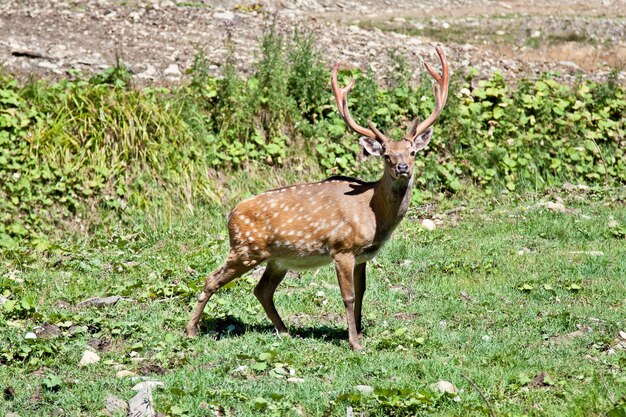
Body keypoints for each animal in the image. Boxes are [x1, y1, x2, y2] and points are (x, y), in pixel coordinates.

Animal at [185, 46, 448, 352]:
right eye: (386, 155)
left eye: (413, 152)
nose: (402, 167)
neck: (373, 214)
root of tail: (230, 214)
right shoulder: (342, 248)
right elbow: (348, 296)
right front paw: (354, 342)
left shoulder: (363, 255)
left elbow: (362, 292)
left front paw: (360, 332)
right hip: (245, 248)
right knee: (212, 279)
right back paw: (191, 330)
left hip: (276, 258)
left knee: (262, 289)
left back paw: (285, 331)